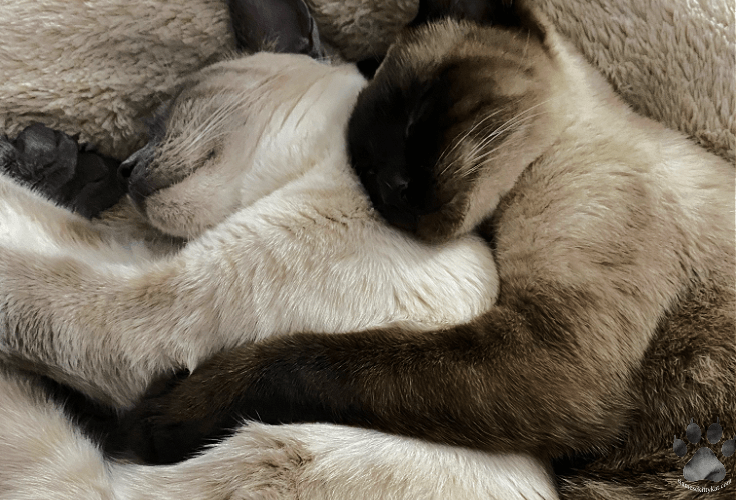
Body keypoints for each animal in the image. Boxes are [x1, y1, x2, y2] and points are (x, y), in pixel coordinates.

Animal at [114, 0, 736, 496]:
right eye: (365, 166)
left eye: (417, 113)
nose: (393, 189)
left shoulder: (555, 363)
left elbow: (303, 360)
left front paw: (165, 415)